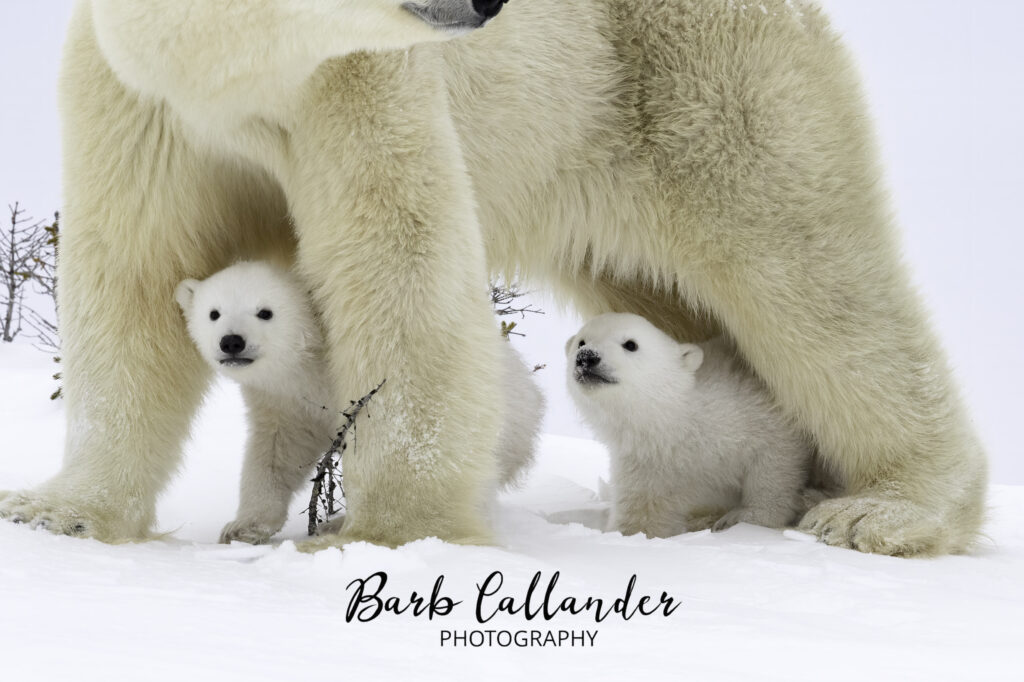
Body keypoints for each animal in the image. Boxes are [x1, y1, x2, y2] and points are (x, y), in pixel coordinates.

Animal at [175, 261, 544, 544]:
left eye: (265, 312)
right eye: (213, 313)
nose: (232, 342)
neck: (311, 367)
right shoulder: (286, 403)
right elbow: (276, 454)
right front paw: (242, 528)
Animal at [566, 313, 814, 538]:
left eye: (630, 344)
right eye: (582, 341)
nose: (587, 357)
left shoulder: (746, 409)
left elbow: (774, 456)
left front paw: (743, 517)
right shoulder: (648, 463)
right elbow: (643, 512)